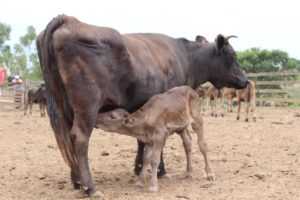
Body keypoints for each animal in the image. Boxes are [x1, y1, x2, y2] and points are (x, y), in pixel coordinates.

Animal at [37, 14, 247, 198]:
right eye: (232, 56)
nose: (245, 80)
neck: (186, 57)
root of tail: (68, 20)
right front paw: (160, 171)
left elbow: (142, 141)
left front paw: (139, 169)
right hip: (87, 106)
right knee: (79, 138)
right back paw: (91, 187)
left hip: (63, 109)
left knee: (66, 138)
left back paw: (78, 181)